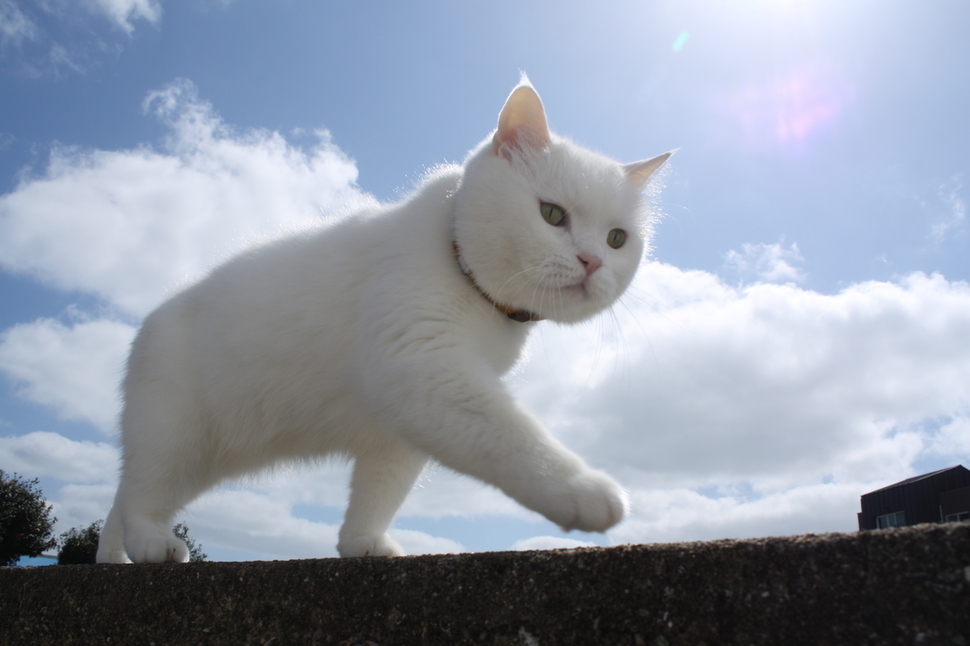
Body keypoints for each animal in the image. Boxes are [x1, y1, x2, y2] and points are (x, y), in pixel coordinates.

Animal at [98, 81, 668, 564]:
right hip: (174, 436)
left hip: (206, 455)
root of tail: (151, 319)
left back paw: (114, 557)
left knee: (119, 501)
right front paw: (583, 490)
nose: (592, 262)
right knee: (139, 495)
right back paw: (151, 544)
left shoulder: (399, 425)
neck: (476, 291)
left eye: (617, 239)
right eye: (552, 214)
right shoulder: (422, 365)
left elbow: (380, 491)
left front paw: (362, 543)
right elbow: (515, 436)